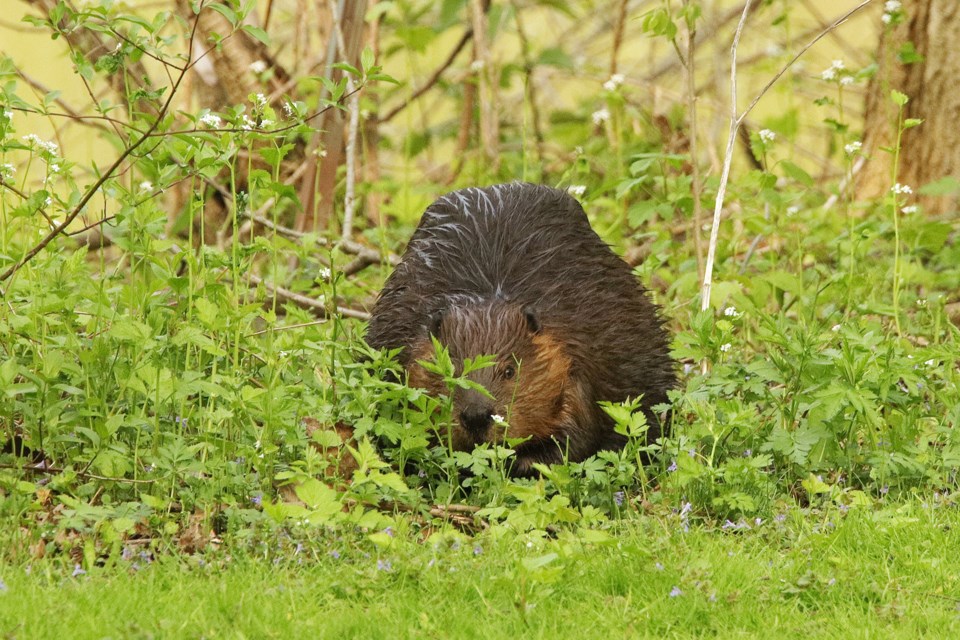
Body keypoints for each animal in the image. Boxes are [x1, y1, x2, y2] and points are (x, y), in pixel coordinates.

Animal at [368, 182, 676, 472]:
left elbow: (578, 431)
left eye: (509, 371)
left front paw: (522, 462)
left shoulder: (574, 350)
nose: (476, 416)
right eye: (450, 370)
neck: (489, 302)